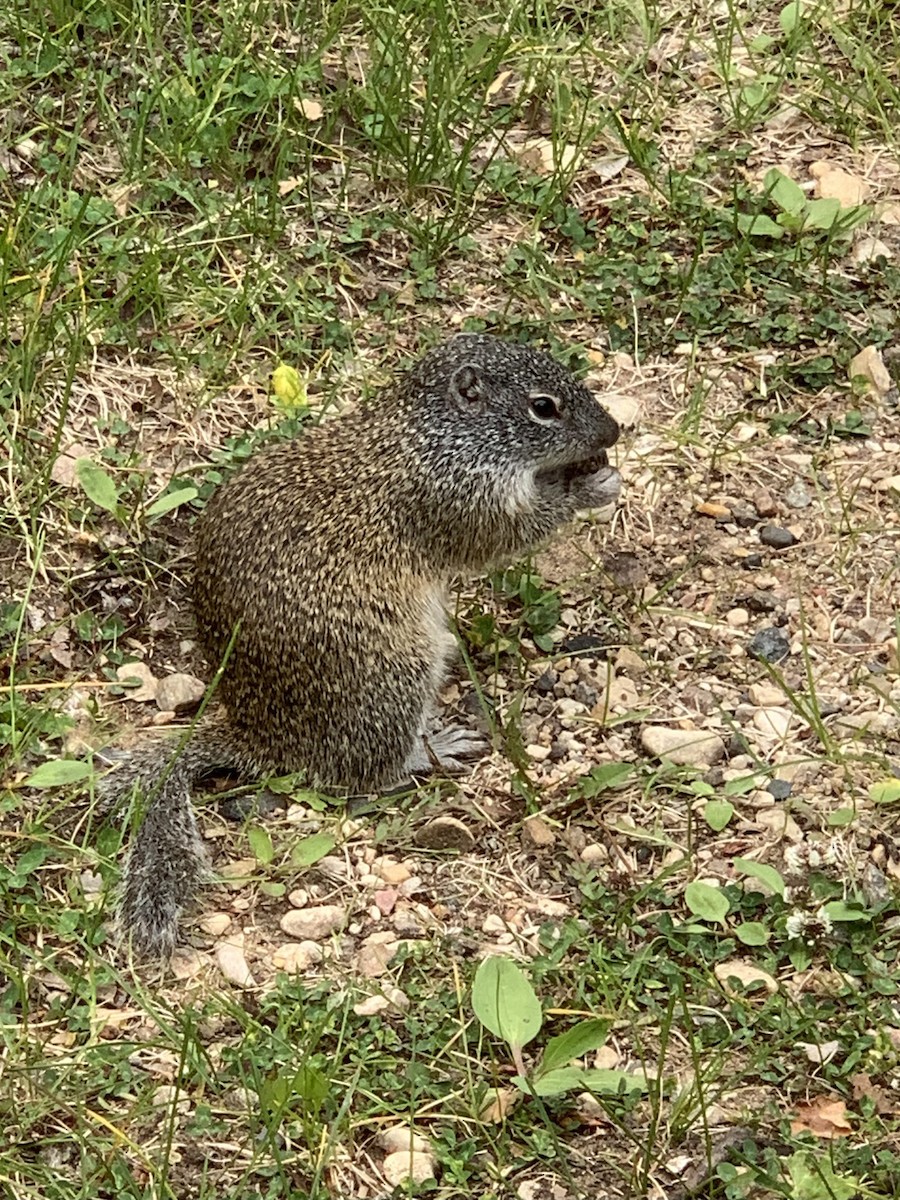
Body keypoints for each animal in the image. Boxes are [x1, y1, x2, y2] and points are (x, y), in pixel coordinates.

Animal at [101, 333, 621, 957]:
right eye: (543, 407)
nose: (613, 432)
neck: (436, 436)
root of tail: (263, 739)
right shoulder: (459, 501)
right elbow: (512, 535)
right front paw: (587, 486)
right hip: (396, 670)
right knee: (367, 771)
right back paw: (432, 748)